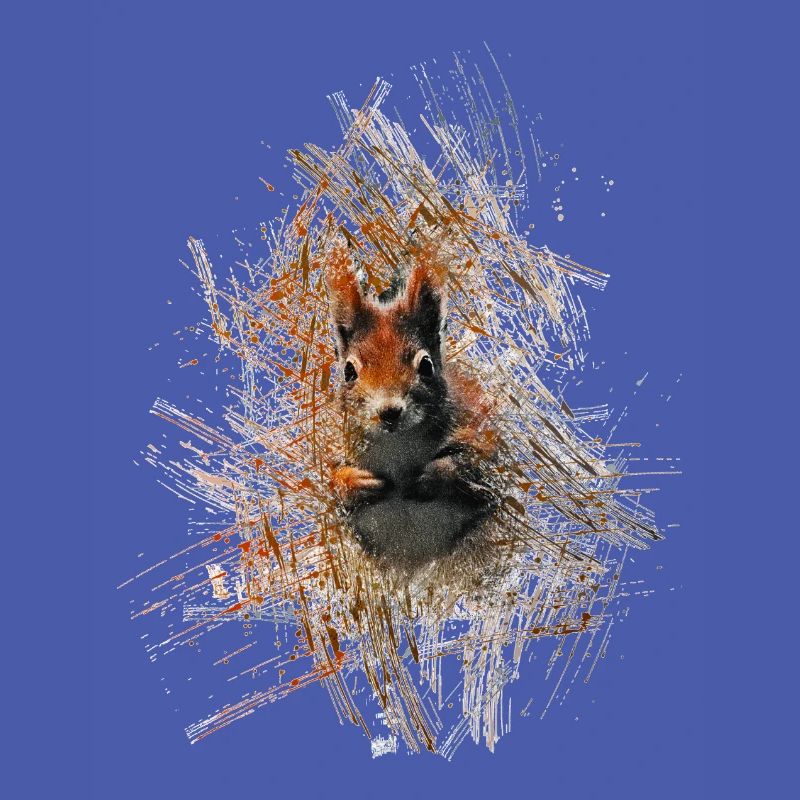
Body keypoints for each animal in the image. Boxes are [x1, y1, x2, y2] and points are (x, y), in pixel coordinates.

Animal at [324, 244, 500, 571]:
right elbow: (327, 483)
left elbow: (479, 462)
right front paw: (356, 482)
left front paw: (433, 474)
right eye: (348, 371)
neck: (398, 445)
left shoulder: (481, 430)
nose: (389, 412)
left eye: (426, 365)